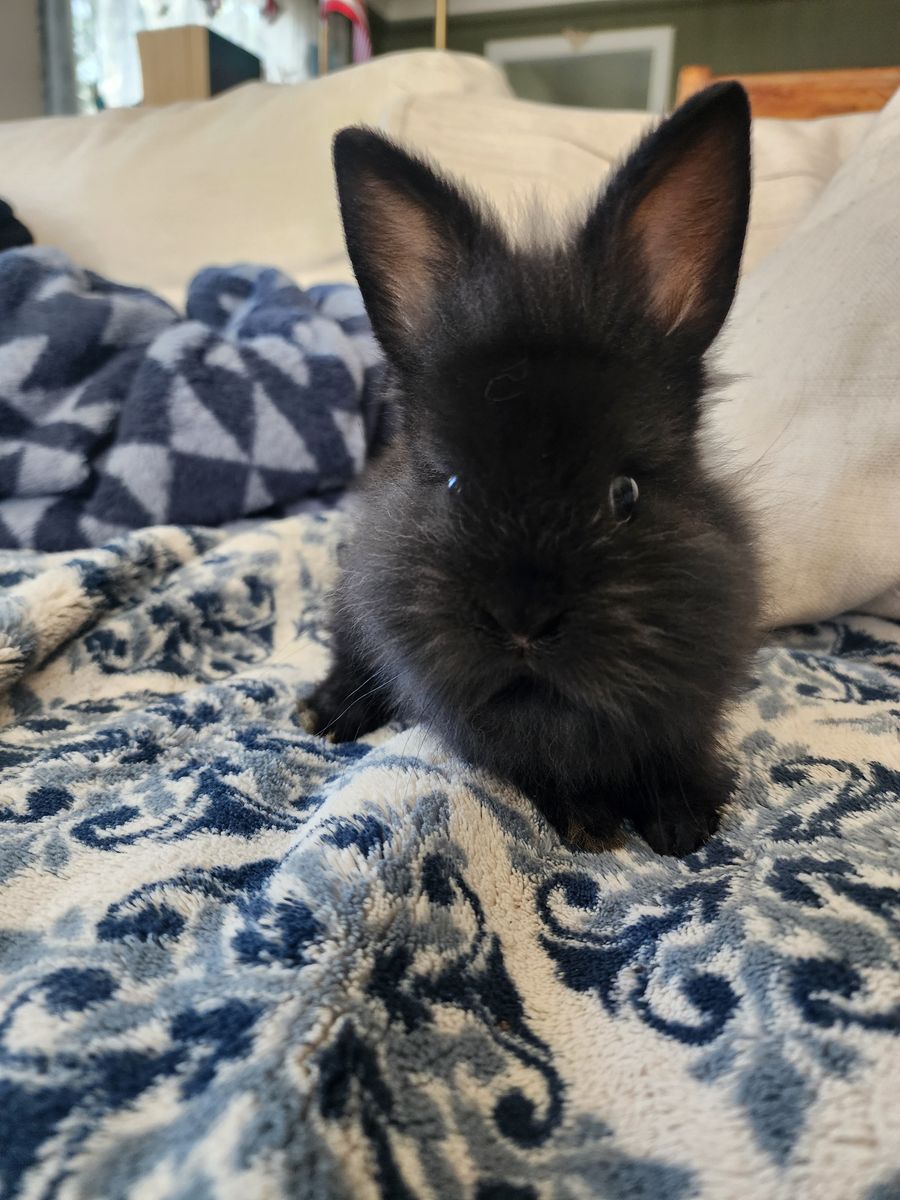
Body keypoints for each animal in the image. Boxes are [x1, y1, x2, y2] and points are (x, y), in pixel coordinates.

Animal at [308, 82, 761, 857]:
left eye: (625, 492)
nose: (522, 621)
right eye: (454, 484)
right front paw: (589, 824)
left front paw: (683, 822)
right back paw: (324, 714)